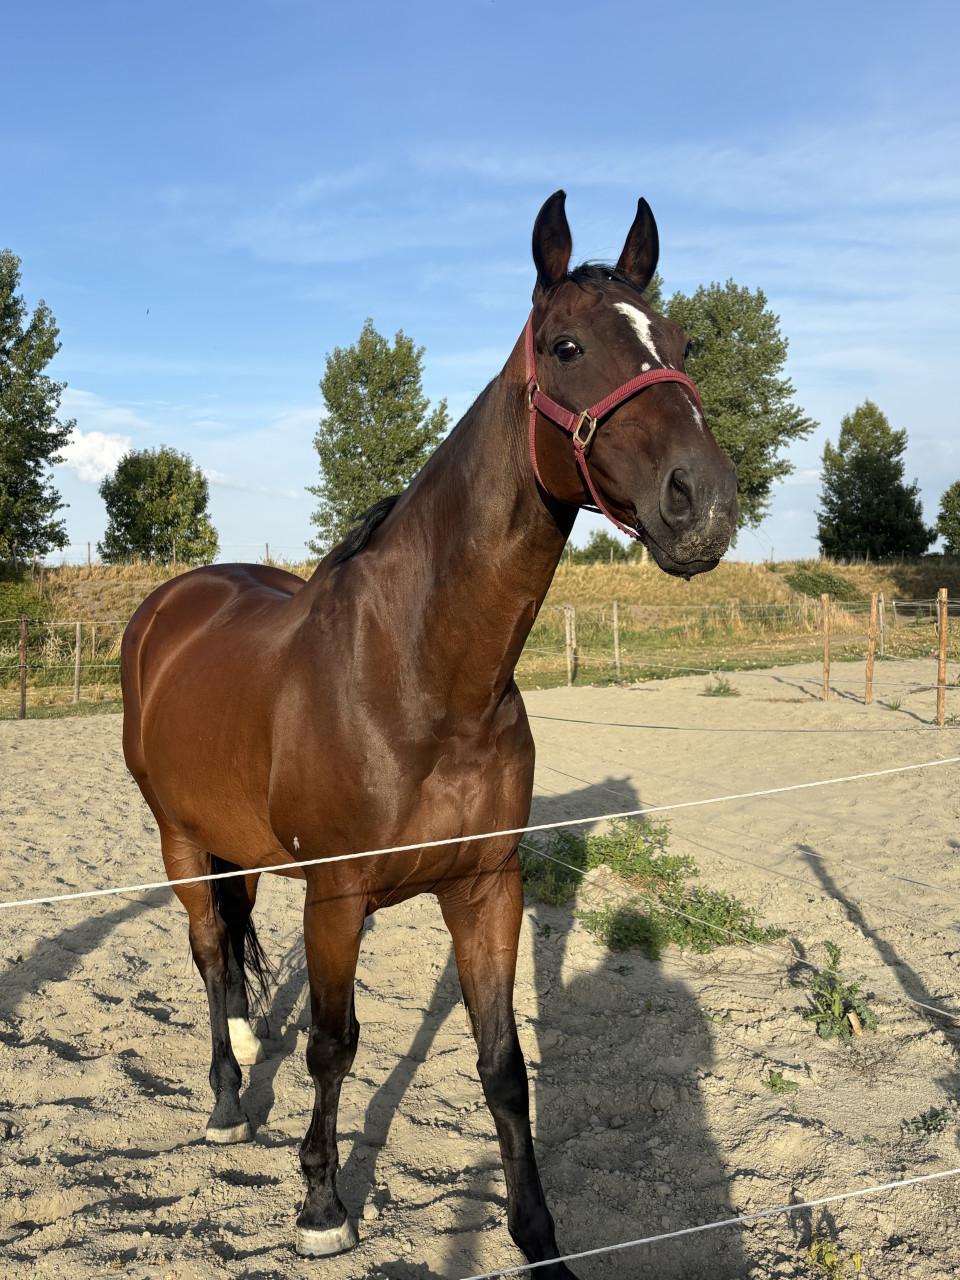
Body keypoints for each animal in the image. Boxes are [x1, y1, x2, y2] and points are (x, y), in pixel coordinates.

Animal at [120, 190, 737, 1277]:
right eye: (567, 345)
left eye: (679, 342)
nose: (701, 501)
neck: (422, 676)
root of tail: (173, 603)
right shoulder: (336, 895)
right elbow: (333, 1043)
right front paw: (322, 1205)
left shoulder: (486, 886)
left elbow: (505, 1065)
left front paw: (538, 1236)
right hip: (179, 840)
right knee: (206, 953)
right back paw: (228, 1103)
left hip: (236, 846)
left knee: (230, 955)